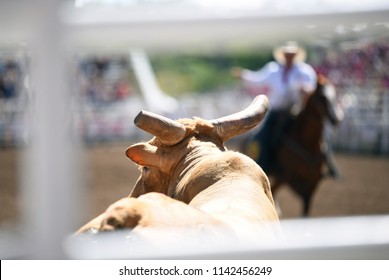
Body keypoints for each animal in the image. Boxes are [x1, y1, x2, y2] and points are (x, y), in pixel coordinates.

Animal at [268, 75, 344, 217]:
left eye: (334, 95)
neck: (307, 143)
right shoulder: (289, 177)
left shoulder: (312, 185)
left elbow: (305, 212)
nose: (337, 119)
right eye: (323, 97)